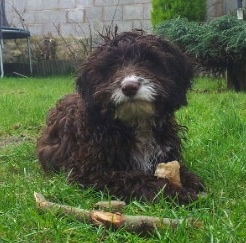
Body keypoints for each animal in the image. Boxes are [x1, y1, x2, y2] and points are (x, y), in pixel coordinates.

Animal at [37, 31, 204, 204]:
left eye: (149, 61)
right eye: (112, 66)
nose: (129, 87)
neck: (136, 122)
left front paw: (189, 179)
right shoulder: (90, 171)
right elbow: (133, 178)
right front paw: (172, 191)